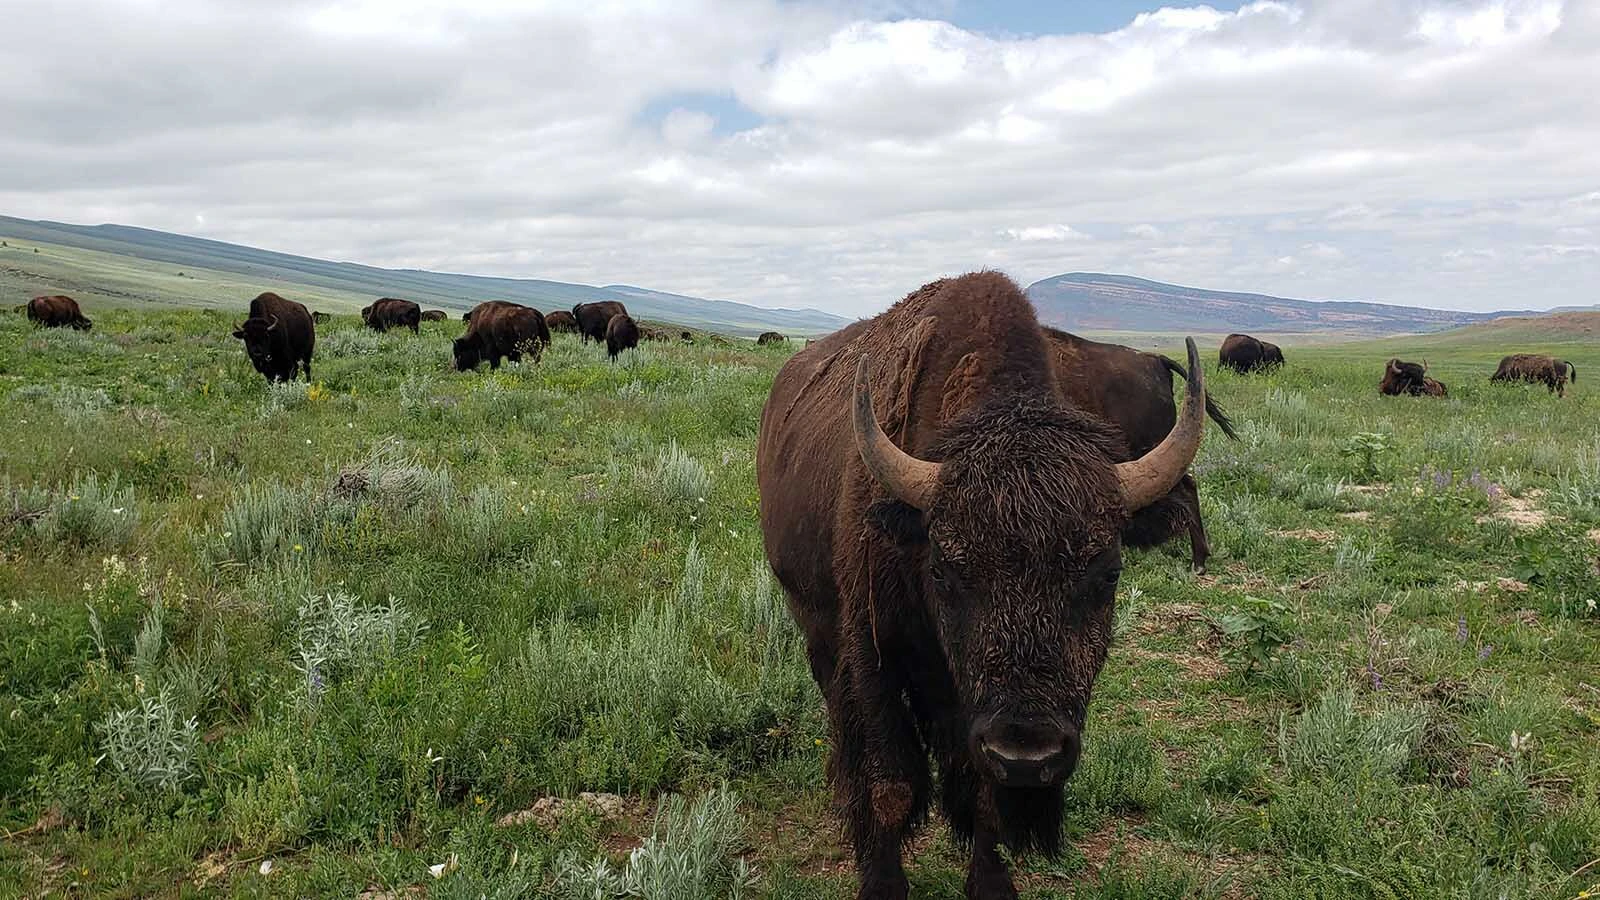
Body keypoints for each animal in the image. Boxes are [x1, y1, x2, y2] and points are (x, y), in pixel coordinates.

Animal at [757, 272, 1207, 899]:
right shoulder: (873, 654)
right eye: (945, 569)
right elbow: (889, 783)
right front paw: (882, 882)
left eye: (1108, 572)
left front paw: (991, 882)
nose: (1027, 753)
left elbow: (981, 791)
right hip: (815, 621)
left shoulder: (971, 713)